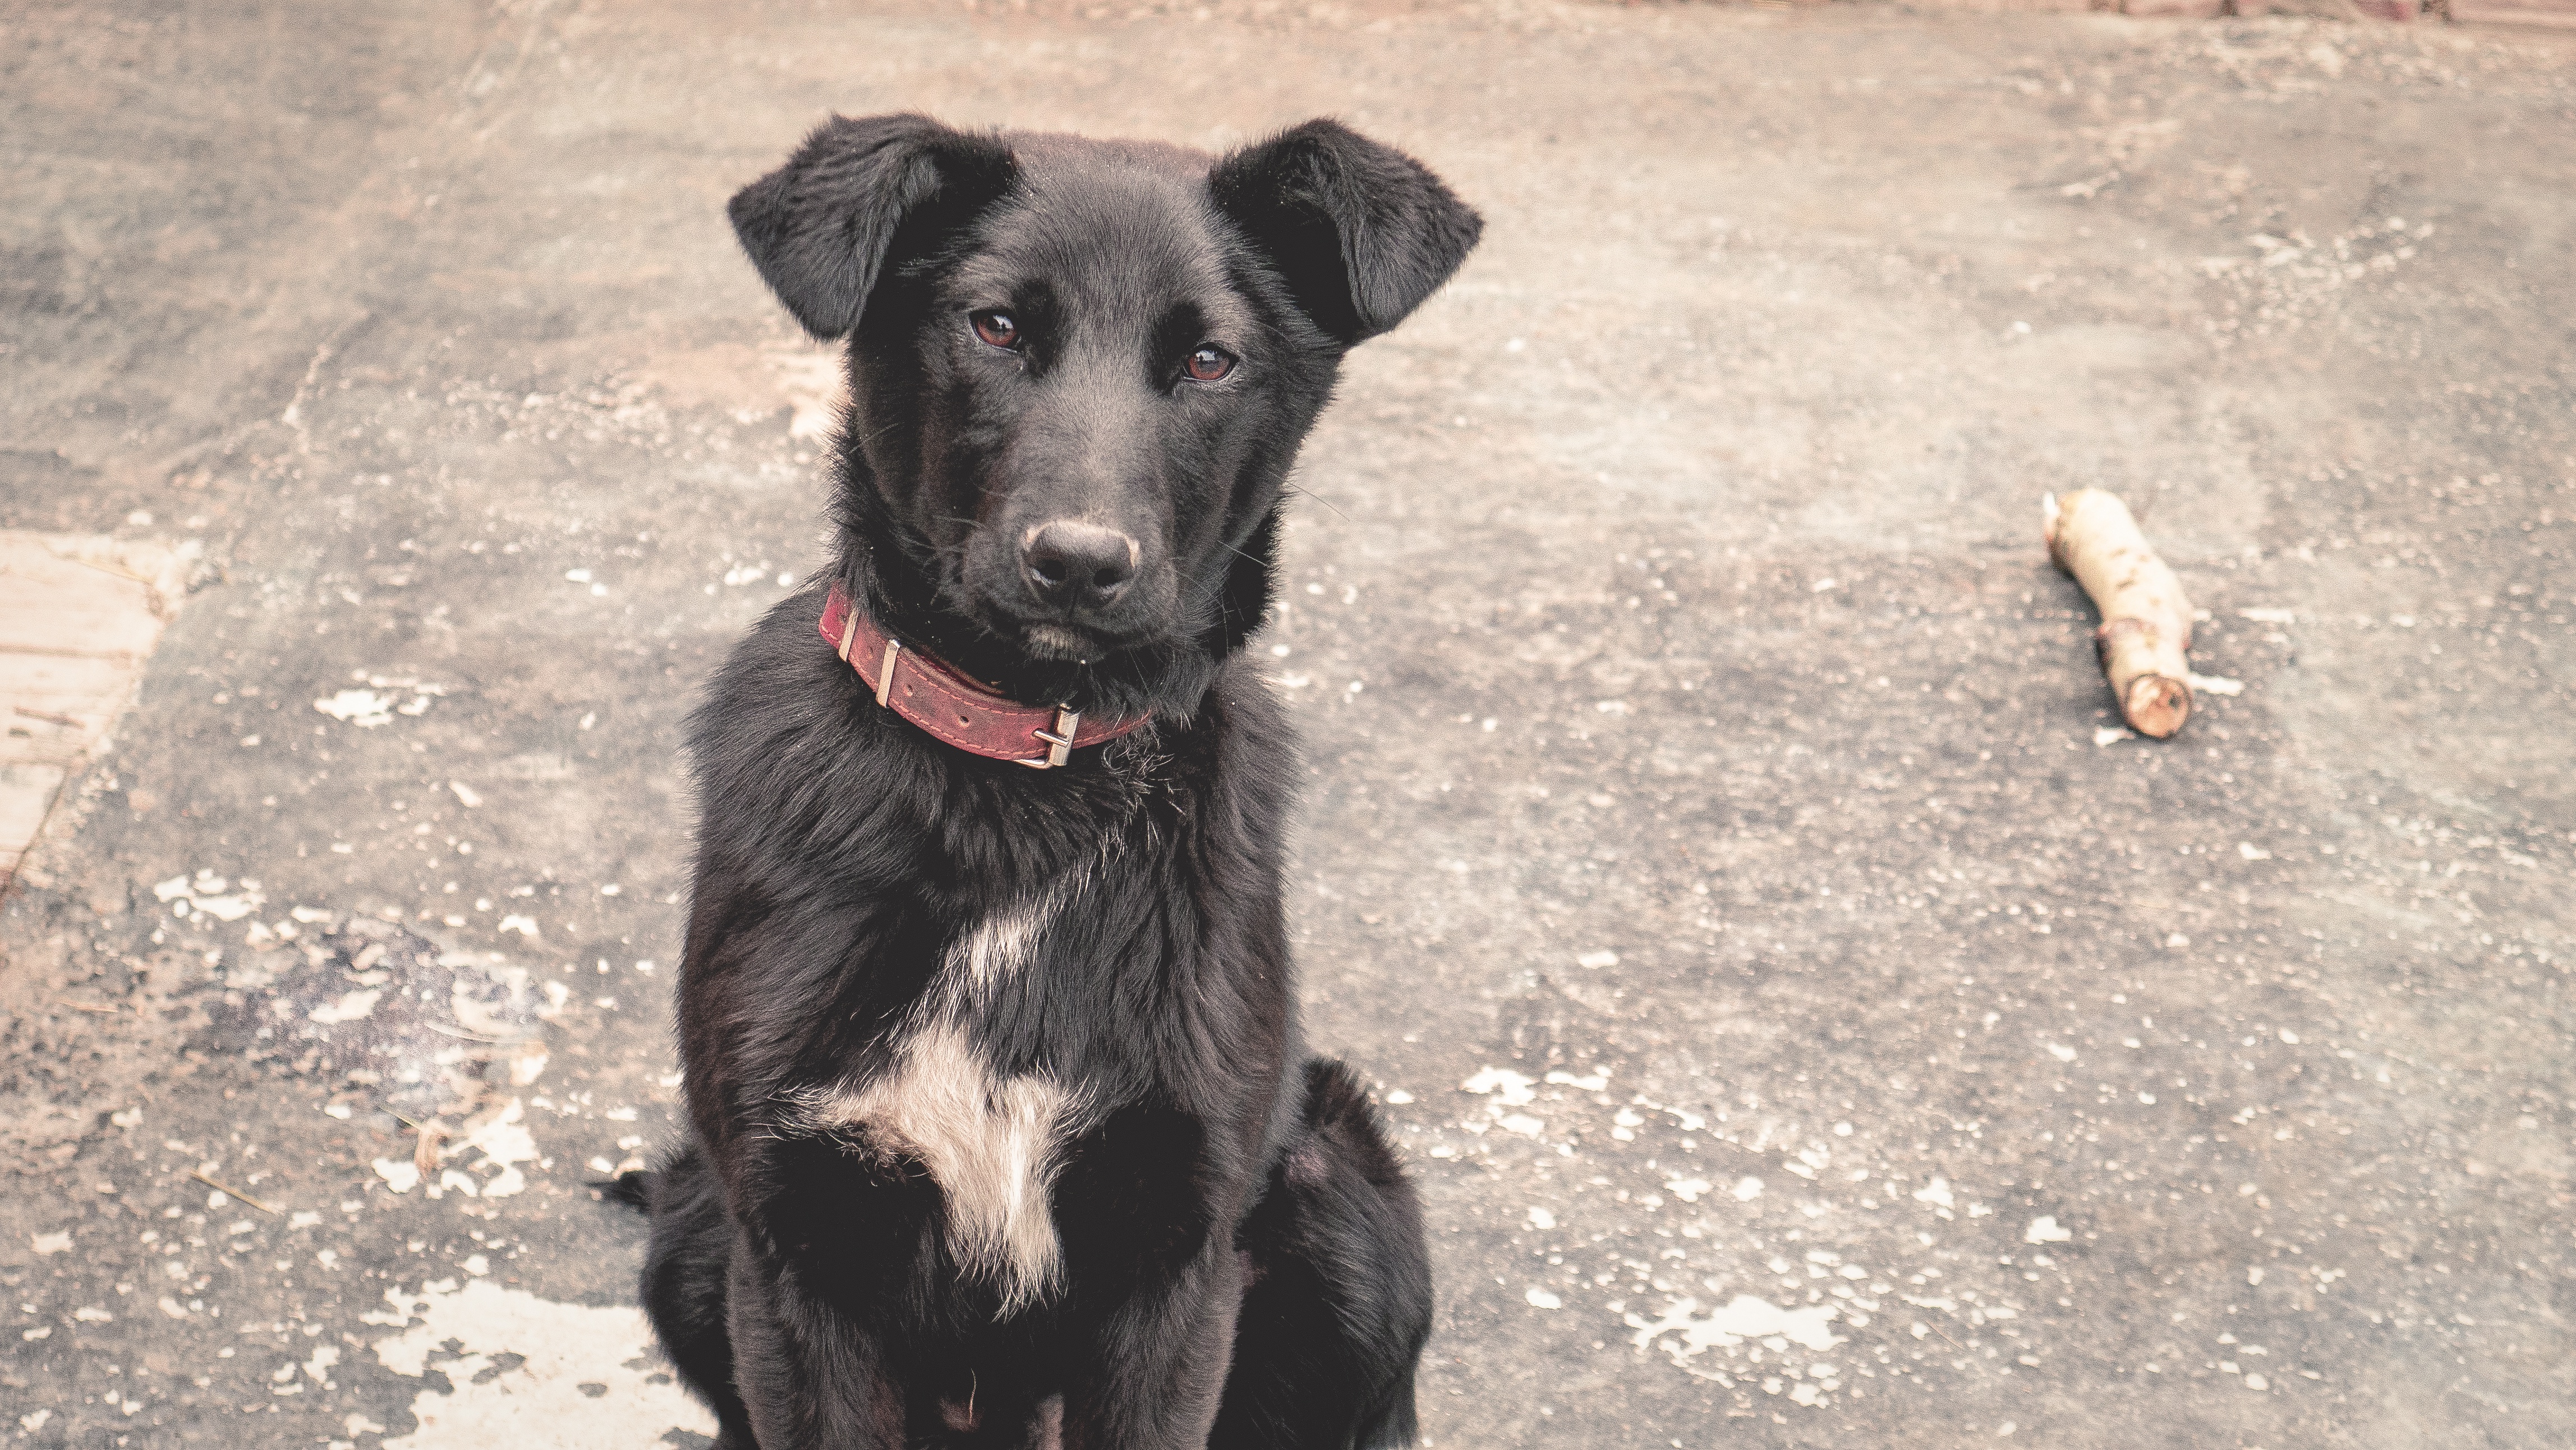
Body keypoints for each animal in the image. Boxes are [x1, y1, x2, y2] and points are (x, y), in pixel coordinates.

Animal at [613, 116, 1483, 1450]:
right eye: (994, 327)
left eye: (1211, 361)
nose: (1079, 562)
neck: (1026, 785)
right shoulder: (796, 1251)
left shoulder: (1175, 1266)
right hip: (693, 1230)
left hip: (1352, 1216)